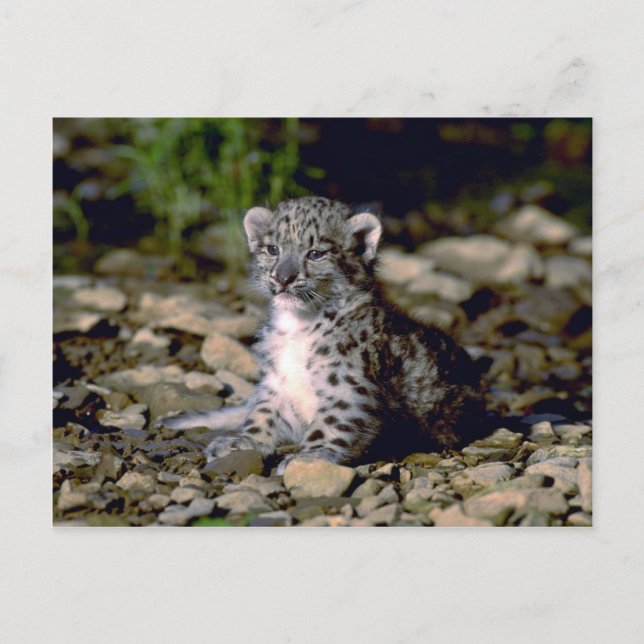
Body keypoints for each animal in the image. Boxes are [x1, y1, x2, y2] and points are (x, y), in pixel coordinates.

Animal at [162, 196, 488, 473]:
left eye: (315, 254)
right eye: (273, 249)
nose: (283, 278)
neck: (297, 325)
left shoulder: (347, 384)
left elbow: (332, 422)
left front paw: (308, 457)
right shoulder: (277, 383)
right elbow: (262, 413)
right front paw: (244, 441)